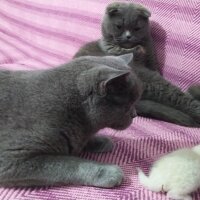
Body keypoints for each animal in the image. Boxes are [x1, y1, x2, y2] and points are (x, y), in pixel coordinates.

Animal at [0, 53, 142, 188]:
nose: (135, 114)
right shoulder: (11, 160)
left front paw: (101, 141)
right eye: (128, 104)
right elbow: (68, 164)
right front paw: (107, 172)